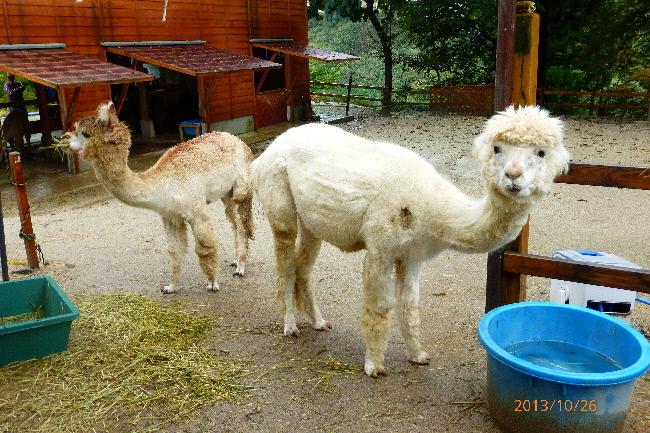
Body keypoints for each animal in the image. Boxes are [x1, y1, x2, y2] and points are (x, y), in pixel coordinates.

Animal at [68, 102, 254, 294]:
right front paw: (170, 287)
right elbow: (174, 250)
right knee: (235, 223)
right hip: (226, 194)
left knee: (243, 225)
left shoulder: (196, 211)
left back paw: (240, 268)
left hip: (242, 187)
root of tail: (237, 140)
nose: (66, 138)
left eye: (85, 133)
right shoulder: (170, 216)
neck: (162, 184)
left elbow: (204, 248)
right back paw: (236, 261)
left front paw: (212, 283)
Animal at [251, 105, 570, 377]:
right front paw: (373, 366)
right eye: (497, 148)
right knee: (285, 264)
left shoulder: (412, 255)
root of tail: (272, 146)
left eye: (541, 152)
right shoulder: (380, 248)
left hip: (311, 222)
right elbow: (379, 307)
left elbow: (410, 306)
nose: (513, 176)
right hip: (279, 199)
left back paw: (318, 322)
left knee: (303, 267)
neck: (433, 209)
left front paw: (418, 355)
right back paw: (290, 325)